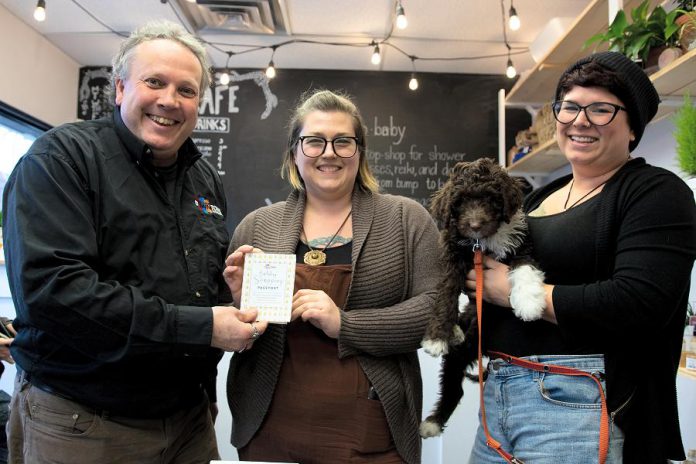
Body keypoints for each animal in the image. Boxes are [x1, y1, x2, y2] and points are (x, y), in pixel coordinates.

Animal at [416, 158, 548, 436]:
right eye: (460, 202)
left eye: (490, 198)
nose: (475, 225)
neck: (482, 242)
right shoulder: (453, 256)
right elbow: (447, 293)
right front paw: (436, 336)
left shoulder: (521, 244)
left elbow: (525, 267)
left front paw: (530, 302)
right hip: (460, 351)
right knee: (453, 385)